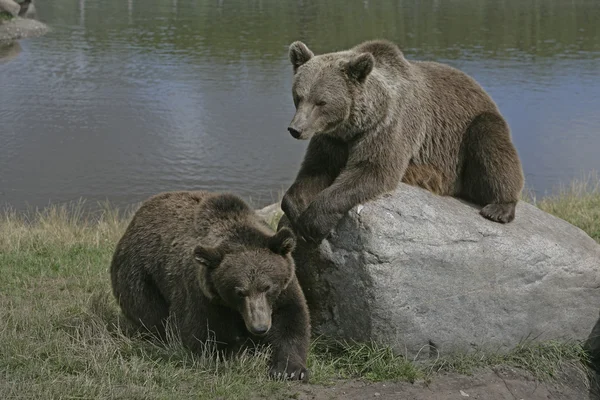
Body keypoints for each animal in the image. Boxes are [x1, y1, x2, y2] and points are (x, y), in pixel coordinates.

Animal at [108, 191, 312, 382]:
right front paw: (240, 350)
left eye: (267, 287)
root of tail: (138, 215)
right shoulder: (201, 296)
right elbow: (202, 335)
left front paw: (289, 369)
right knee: (150, 313)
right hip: (140, 275)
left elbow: (292, 320)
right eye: (239, 292)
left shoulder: (284, 289)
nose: (259, 327)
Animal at [284, 39, 524, 244]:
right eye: (299, 96)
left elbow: (372, 170)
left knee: (492, 145)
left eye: (321, 102)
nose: (296, 129)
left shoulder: (389, 126)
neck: (354, 126)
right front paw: (297, 211)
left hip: (470, 132)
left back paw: (499, 208)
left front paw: (313, 222)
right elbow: (315, 170)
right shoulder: (332, 140)